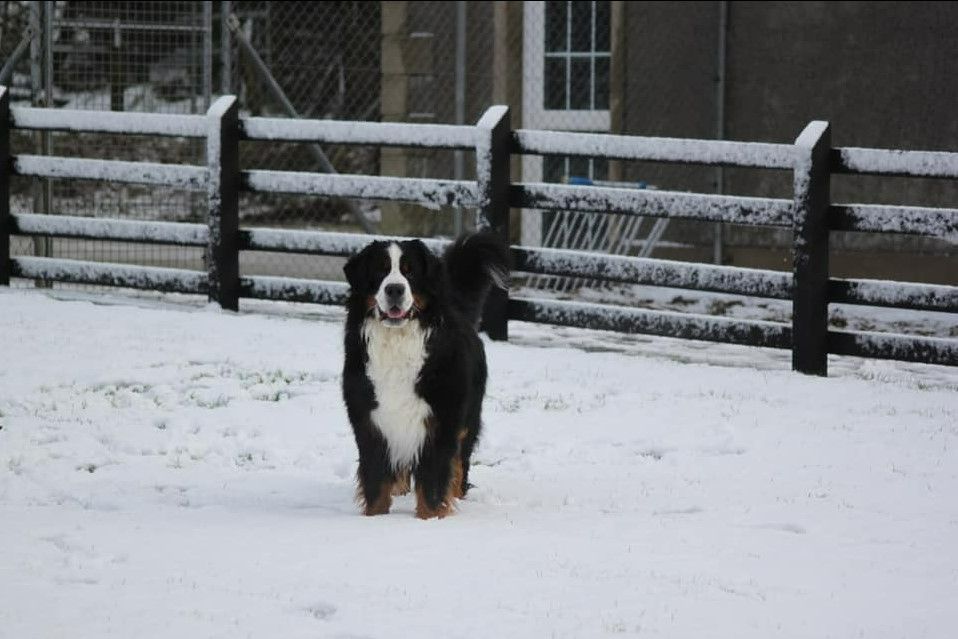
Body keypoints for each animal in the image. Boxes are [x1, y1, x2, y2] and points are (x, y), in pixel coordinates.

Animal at [344, 232, 510, 516]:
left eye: (410, 271)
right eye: (380, 270)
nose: (395, 289)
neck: (398, 342)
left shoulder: (442, 420)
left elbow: (433, 483)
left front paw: (431, 518)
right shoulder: (370, 420)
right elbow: (376, 481)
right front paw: (374, 519)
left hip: (467, 421)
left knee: (459, 463)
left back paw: (456, 493)